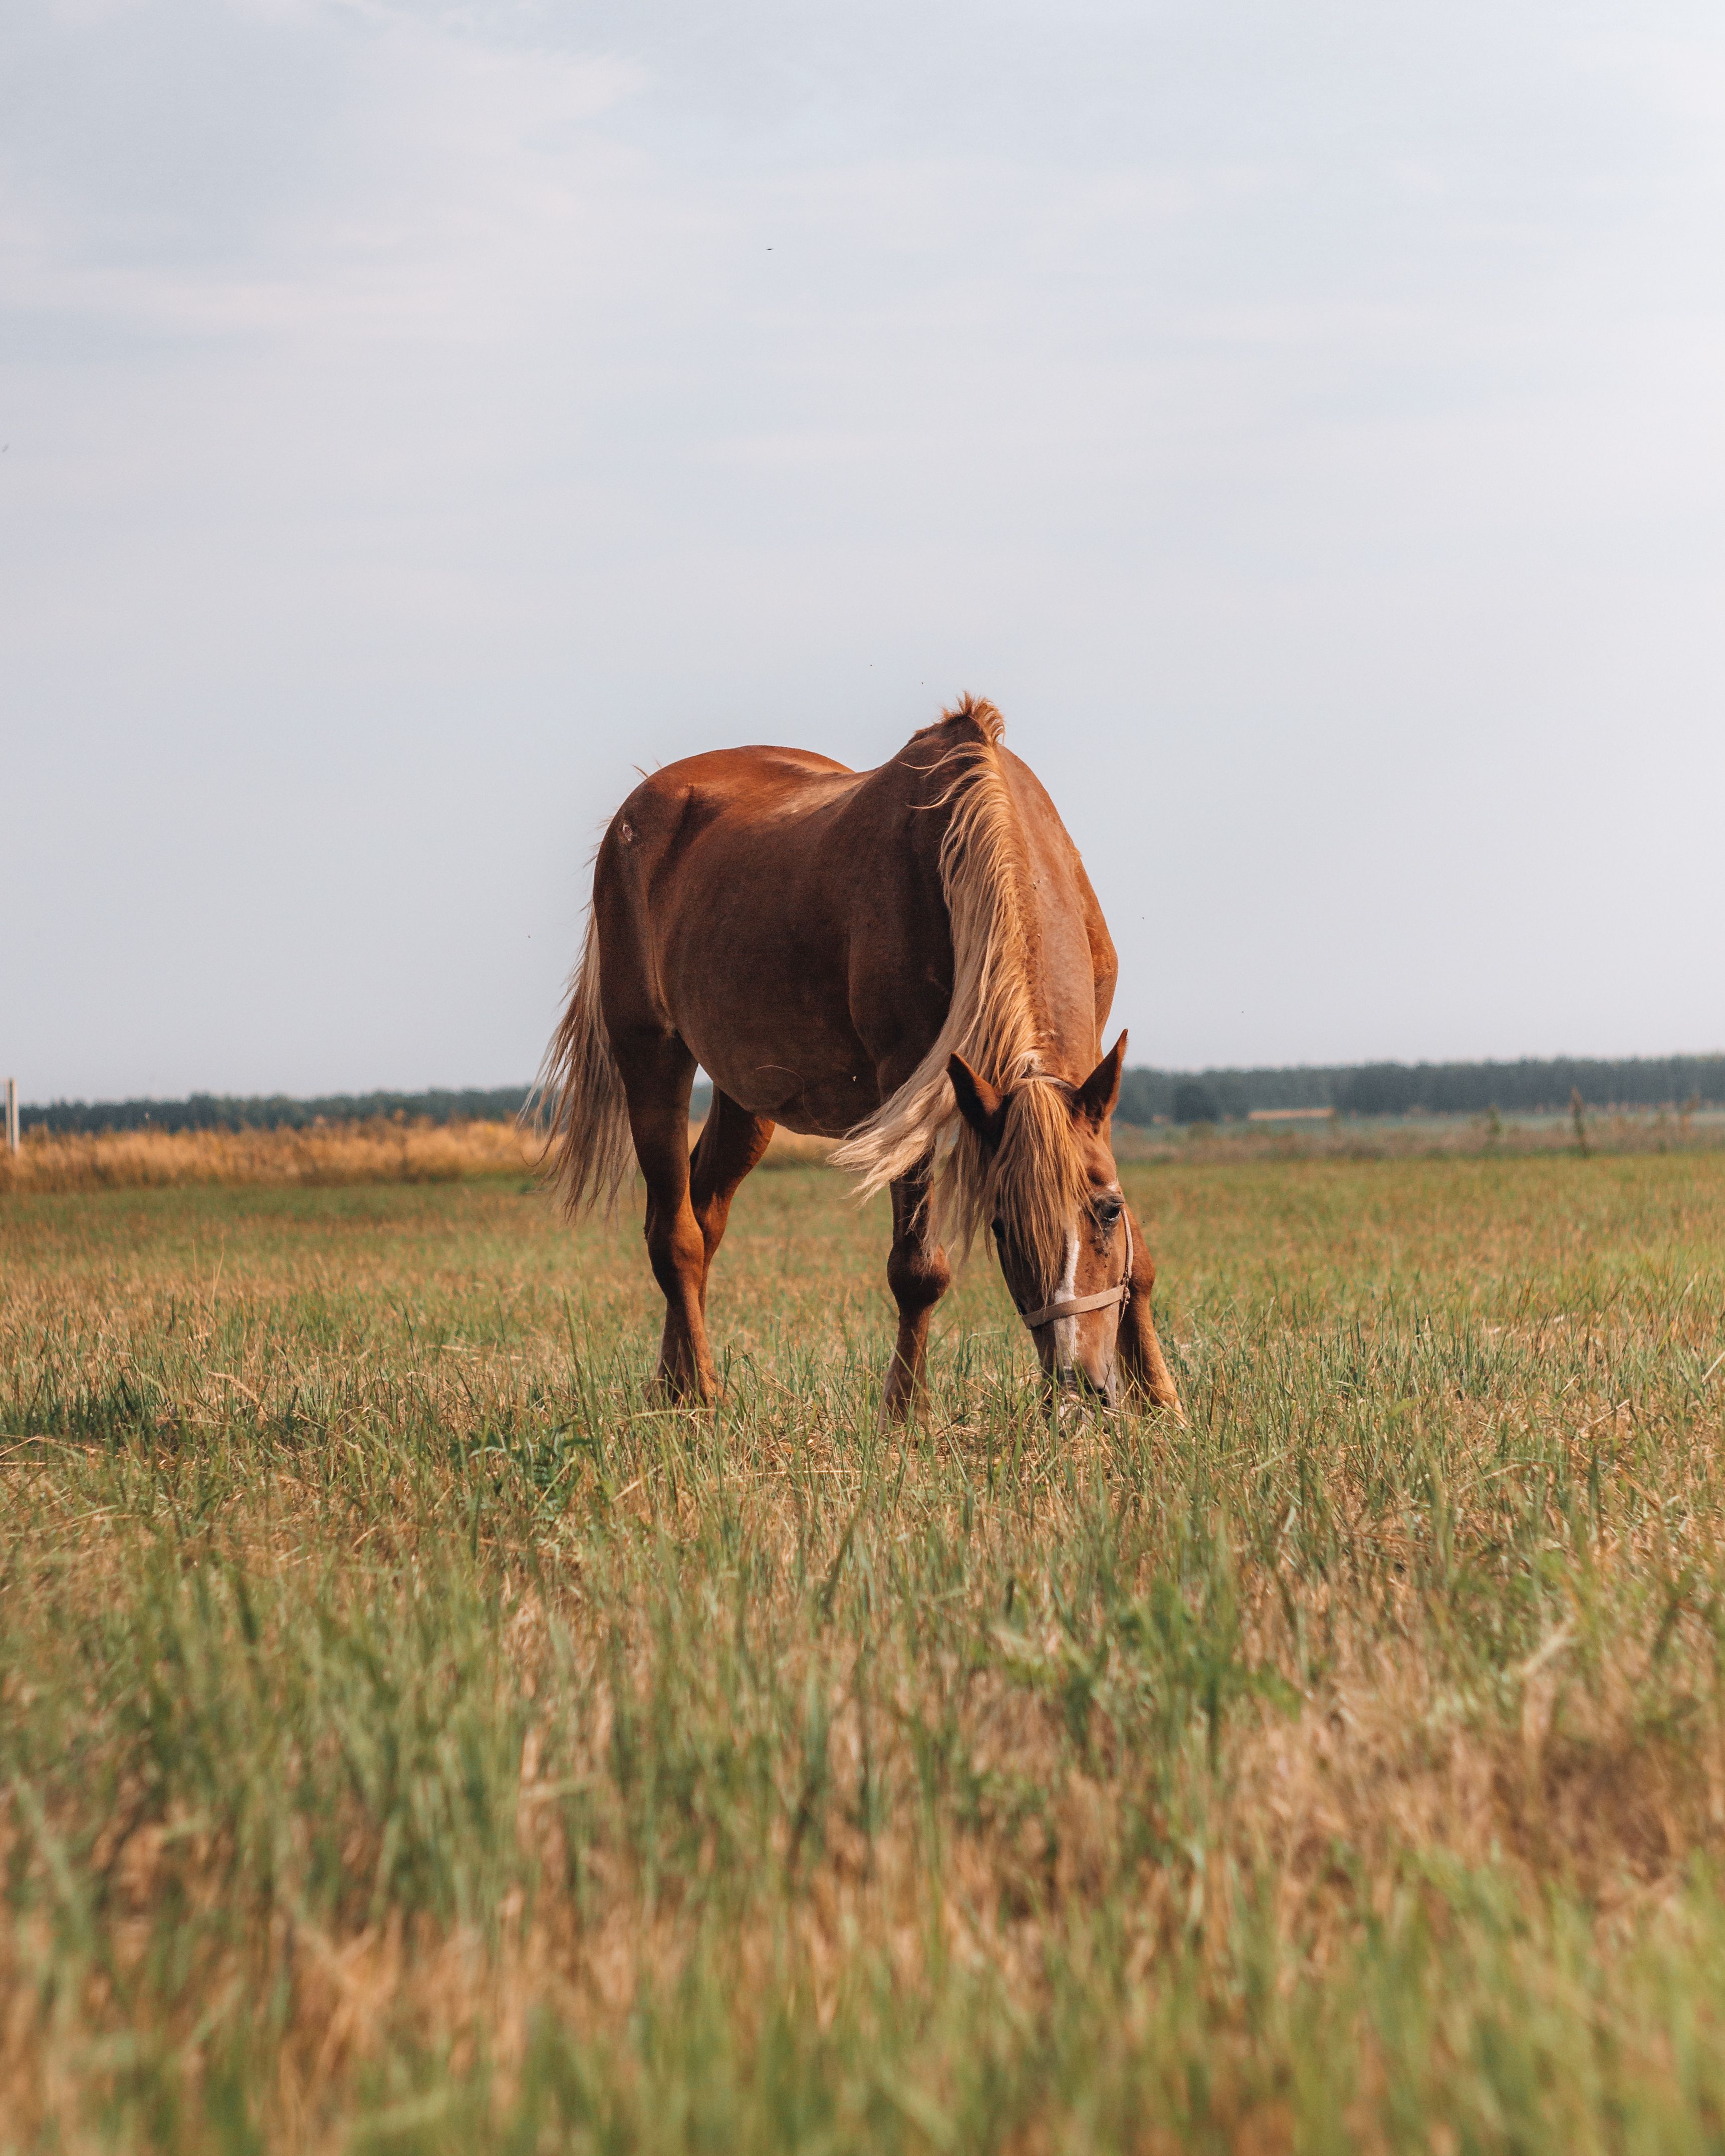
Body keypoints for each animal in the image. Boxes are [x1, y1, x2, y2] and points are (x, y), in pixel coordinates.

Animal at [536, 695, 1181, 1421]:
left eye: (1107, 1209)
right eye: (1001, 1226)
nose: (1081, 1390)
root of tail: (638, 806)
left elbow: (1140, 1264)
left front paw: (1164, 1401)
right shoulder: (906, 1088)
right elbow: (917, 1270)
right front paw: (904, 1414)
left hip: (747, 1099)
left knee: (702, 1213)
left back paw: (671, 1385)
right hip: (651, 1056)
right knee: (674, 1235)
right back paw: (700, 1393)